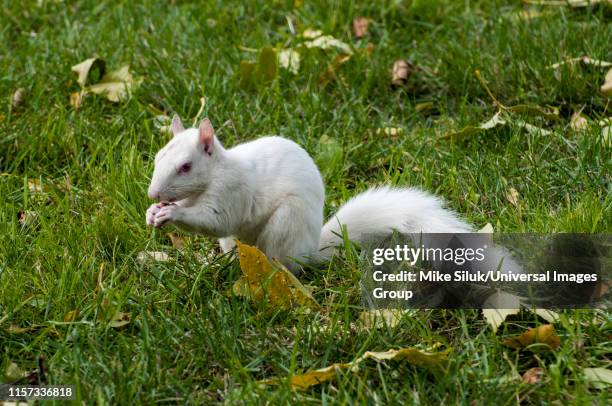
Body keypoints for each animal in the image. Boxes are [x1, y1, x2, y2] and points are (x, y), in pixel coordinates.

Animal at [147, 116, 474, 272]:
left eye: (186, 166)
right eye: (158, 156)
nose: (152, 194)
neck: (210, 178)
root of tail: (309, 252)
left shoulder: (232, 191)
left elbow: (217, 220)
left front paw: (172, 212)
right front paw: (154, 213)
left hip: (286, 224)